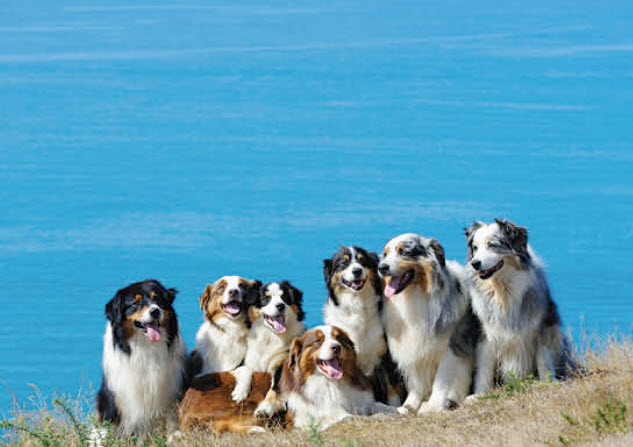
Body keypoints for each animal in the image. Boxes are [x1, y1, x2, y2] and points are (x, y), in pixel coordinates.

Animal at [93, 280, 185, 440]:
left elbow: (171, 416)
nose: (155, 311)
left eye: (157, 299)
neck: (145, 345)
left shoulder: (171, 388)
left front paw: (173, 436)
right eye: (135, 303)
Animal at [230, 282, 306, 422]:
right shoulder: (244, 360)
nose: (280, 306)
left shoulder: (284, 362)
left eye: (285, 298)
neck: (270, 337)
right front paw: (240, 392)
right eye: (266, 299)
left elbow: (276, 388)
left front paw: (266, 408)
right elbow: (245, 369)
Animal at [324, 245, 402, 406]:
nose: (357, 271)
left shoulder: (385, 354)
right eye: (343, 263)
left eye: (362, 261)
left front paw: (396, 406)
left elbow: (391, 387)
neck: (356, 303)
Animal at [378, 234, 476, 416]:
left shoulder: (451, 350)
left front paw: (433, 406)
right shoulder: (413, 346)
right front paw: (410, 405)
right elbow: (416, 382)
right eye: (385, 254)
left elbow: (441, 381)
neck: (415, 294)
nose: (381, 267)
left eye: (404, 252)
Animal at [464, 219, 572, 398]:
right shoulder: (485, 331)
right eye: (475, 248)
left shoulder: (543, 324)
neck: (502, 290)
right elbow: (484, 366)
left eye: (492, 245)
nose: (475, 264)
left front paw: (547, 383)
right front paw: (480, 394)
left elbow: (543, 358)